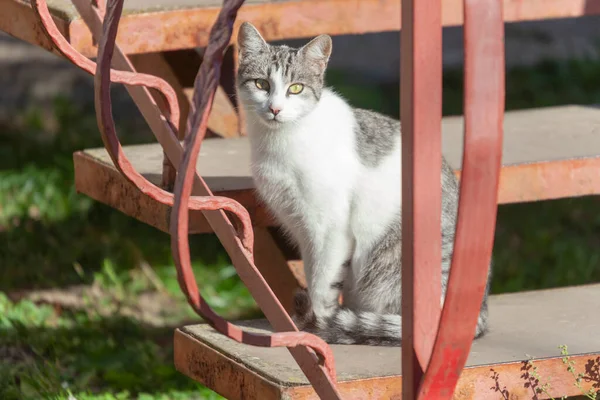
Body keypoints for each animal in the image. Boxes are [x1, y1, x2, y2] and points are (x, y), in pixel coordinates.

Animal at [234, 21, 492, 346]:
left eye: (296, 88)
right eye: (261, 84)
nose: (275, 109)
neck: (280, 141)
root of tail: (477, 313)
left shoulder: (330, 227)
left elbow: (322, 282)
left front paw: (319, 323)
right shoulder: (302, 227)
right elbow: (313, 271)